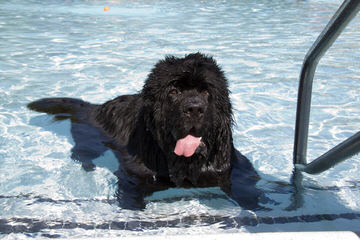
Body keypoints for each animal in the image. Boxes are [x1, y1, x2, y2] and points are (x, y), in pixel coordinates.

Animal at [28, 53, 262, 210]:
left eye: (206, 91)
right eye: (174, 92)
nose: (194, 108)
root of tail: (95, 107)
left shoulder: (228, 165)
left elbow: (244, 181)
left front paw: (253, 202)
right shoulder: (135, 173)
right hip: (89, 139)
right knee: (82, 153)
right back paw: (87, 166)